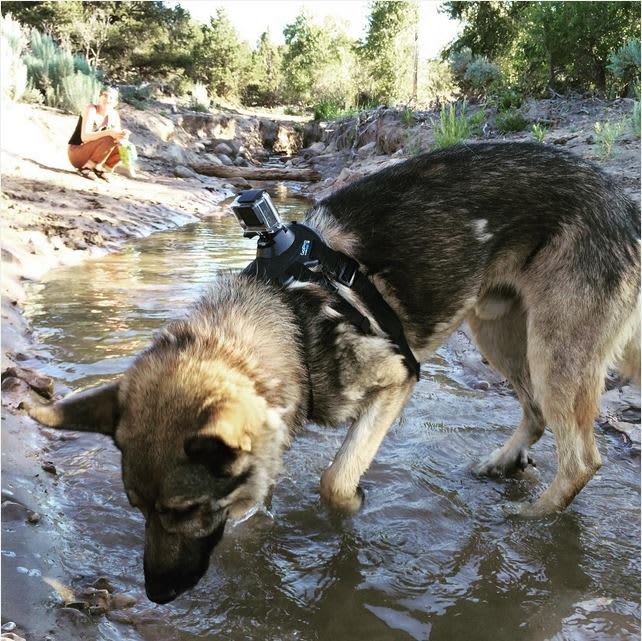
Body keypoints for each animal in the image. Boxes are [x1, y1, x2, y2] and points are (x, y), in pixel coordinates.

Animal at [30, 142, 640, 604]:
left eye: (184, 510)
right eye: (136, 508)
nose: (156, 595)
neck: (288, 322)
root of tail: (623, 201)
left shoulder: (398, 378)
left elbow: (333, 480)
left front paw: (354, 507)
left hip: (551, 349)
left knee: (581, 458)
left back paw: (529, 525)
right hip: (496, 331)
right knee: (535, 412)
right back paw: (504, 463)